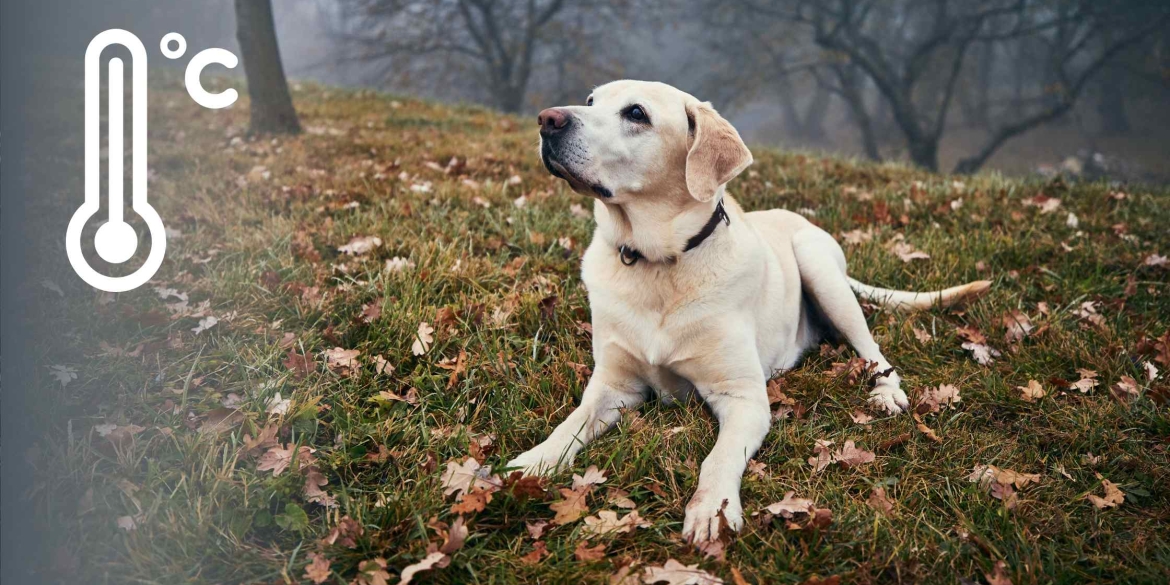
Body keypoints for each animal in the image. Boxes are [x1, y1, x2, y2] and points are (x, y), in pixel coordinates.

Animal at [503, 81, 987, 542]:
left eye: (636, 113)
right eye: (590, 100)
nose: (547, 119)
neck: (659, 263)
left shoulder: (743, 398)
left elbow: (717, 459)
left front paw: (711, 510)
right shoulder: (612, 386)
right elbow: (569, 425)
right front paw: (530, 465)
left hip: (818, 265)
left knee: (873, 350)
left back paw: (885, 392)